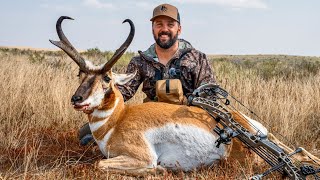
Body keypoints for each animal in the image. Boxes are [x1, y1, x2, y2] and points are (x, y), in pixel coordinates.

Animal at [50, 16, 320, 175]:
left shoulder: (142, 157)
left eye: (107, 78)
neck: (117, 121)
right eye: (80, 74)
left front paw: (159, 171)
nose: (77, 100)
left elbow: (101, 164)